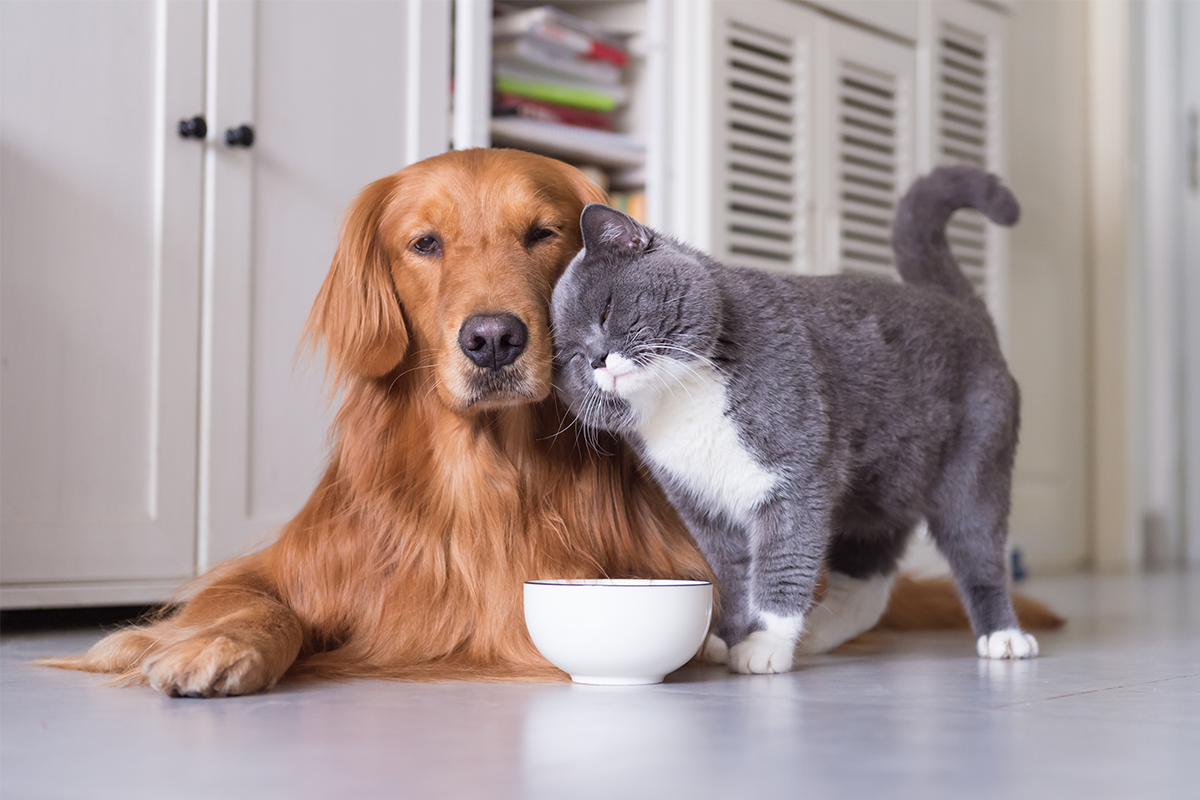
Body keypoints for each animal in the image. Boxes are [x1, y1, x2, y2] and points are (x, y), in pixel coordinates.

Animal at [49, 148, 710, 695]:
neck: (480, 473)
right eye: (425, 244)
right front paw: (215, 645)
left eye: (542, 233)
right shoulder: (269, 569)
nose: (494, 339)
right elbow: (261, 605)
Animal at [549, 165, 1036, 671]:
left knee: (979, 552)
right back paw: (816, 635)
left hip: (973, 469)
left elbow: (783, 563)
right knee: (869, 585)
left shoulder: (795, 480)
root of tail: (960, 307)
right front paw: (727, 637)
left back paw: (1004, 637)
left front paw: (764, 645)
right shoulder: (703, 507)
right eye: (568, 355)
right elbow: (732, 576)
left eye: (607, 310)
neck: (681, 402)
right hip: (879, 495)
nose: (598, 359)